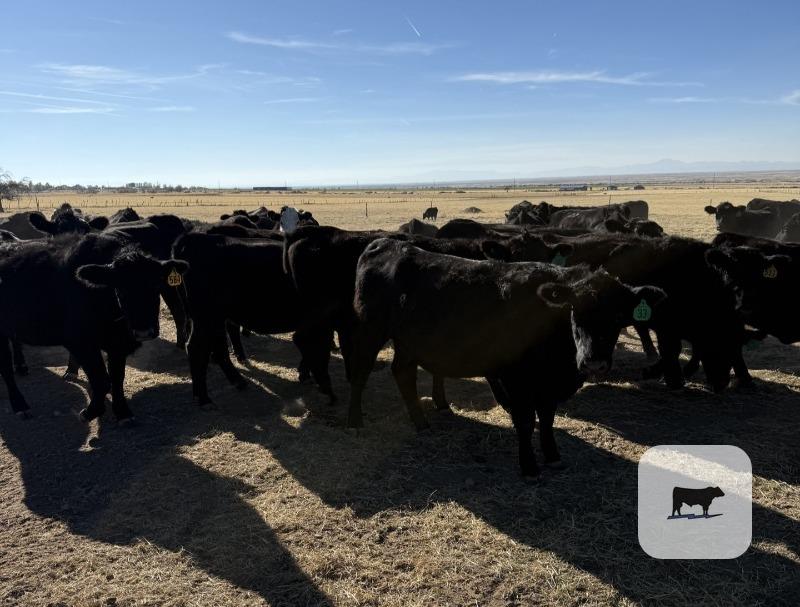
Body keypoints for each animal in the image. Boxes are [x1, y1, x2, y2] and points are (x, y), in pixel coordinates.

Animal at [0, 232, 188, 420]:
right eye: (119, 288)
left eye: (156, 285)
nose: (143, 332)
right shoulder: (80, 343)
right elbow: (101, 380)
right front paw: (92, 411)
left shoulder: (117, 344)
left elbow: (117, 378)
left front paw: (123, 412)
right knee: (6, 369)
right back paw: (20, 405)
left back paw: (21, 367)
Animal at [347, 238, 666, 476]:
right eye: (574, 309)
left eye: (618, 316)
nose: (594, 363)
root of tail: (385, 243)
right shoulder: (515, 379)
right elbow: (525, 421)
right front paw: (529, 466)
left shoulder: (547, 386)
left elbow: (547, 419)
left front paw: (552, 454)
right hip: (370, 329)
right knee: (361, 371)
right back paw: (354, 420)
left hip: (408, 342)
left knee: (402, 372)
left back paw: (421, 421)